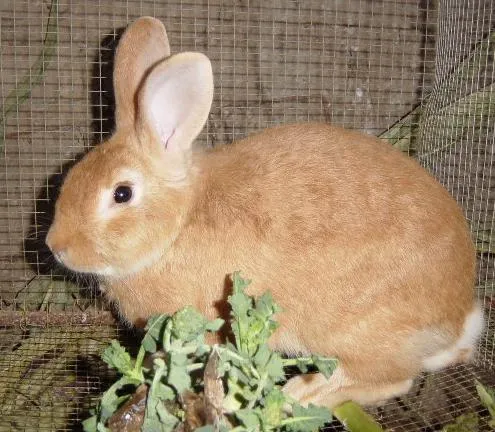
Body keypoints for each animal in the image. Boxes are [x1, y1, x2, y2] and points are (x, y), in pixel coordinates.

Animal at [45, 16, 484, 408]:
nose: (56, 246)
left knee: (391, 379)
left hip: (356, 331)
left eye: (122, 194)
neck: (179, 225)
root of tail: (459, 318)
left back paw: (302, 392)